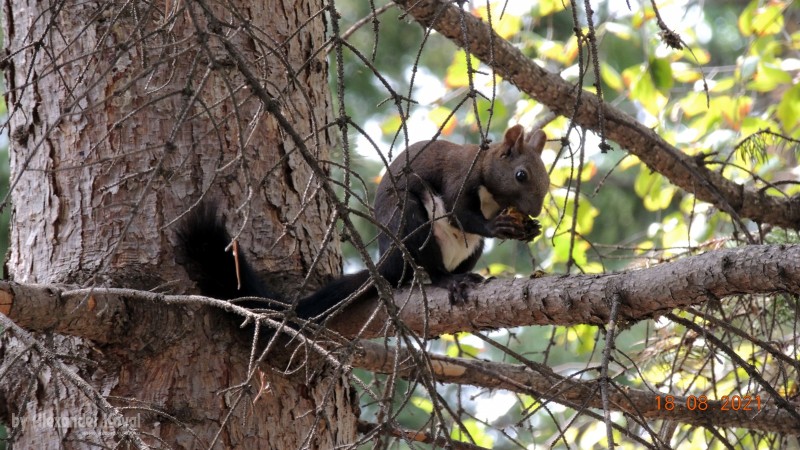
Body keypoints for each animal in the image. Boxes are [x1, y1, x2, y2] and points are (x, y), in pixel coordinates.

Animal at [175, 124, 552, 324]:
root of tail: (387, 266)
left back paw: (466, 275)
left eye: (546, 177)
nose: (536, 209)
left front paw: (529, 229)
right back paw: (450, 281)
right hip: (410, 224)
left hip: (467, 250)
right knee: (429, 270)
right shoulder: (459, 180)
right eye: (521, 175)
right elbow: (461, 213)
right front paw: (500, 227)